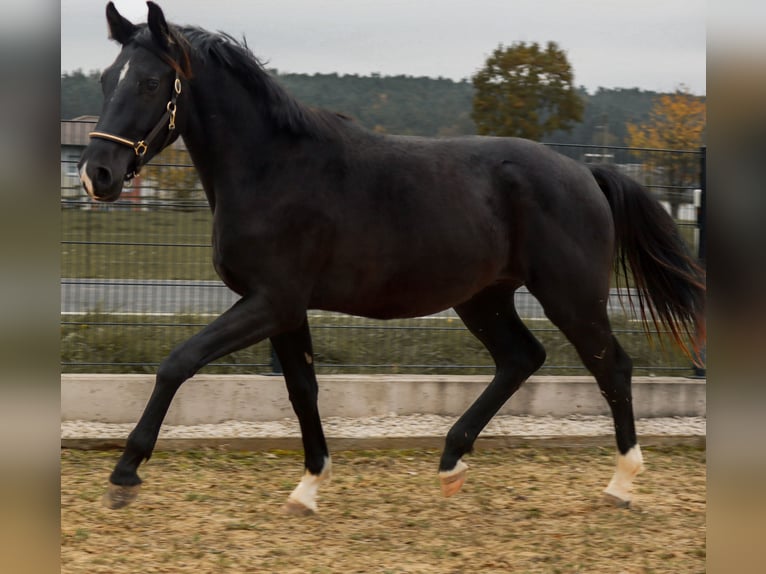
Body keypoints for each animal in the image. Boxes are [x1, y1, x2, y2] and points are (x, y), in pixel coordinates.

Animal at [79, 2, 708, 516]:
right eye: (107, 79)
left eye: (152, 81)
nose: (96, 175)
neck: (273, 170)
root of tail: (587, 172)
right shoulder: (286, 310)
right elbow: (302, 390)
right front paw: (309, 486)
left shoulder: (269, 302)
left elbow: (178, 362)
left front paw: (124, 473)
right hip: (483, 299)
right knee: (521, 358)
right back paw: (452, 465)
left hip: (571, 297)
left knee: (612, 367)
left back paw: (621, 482)